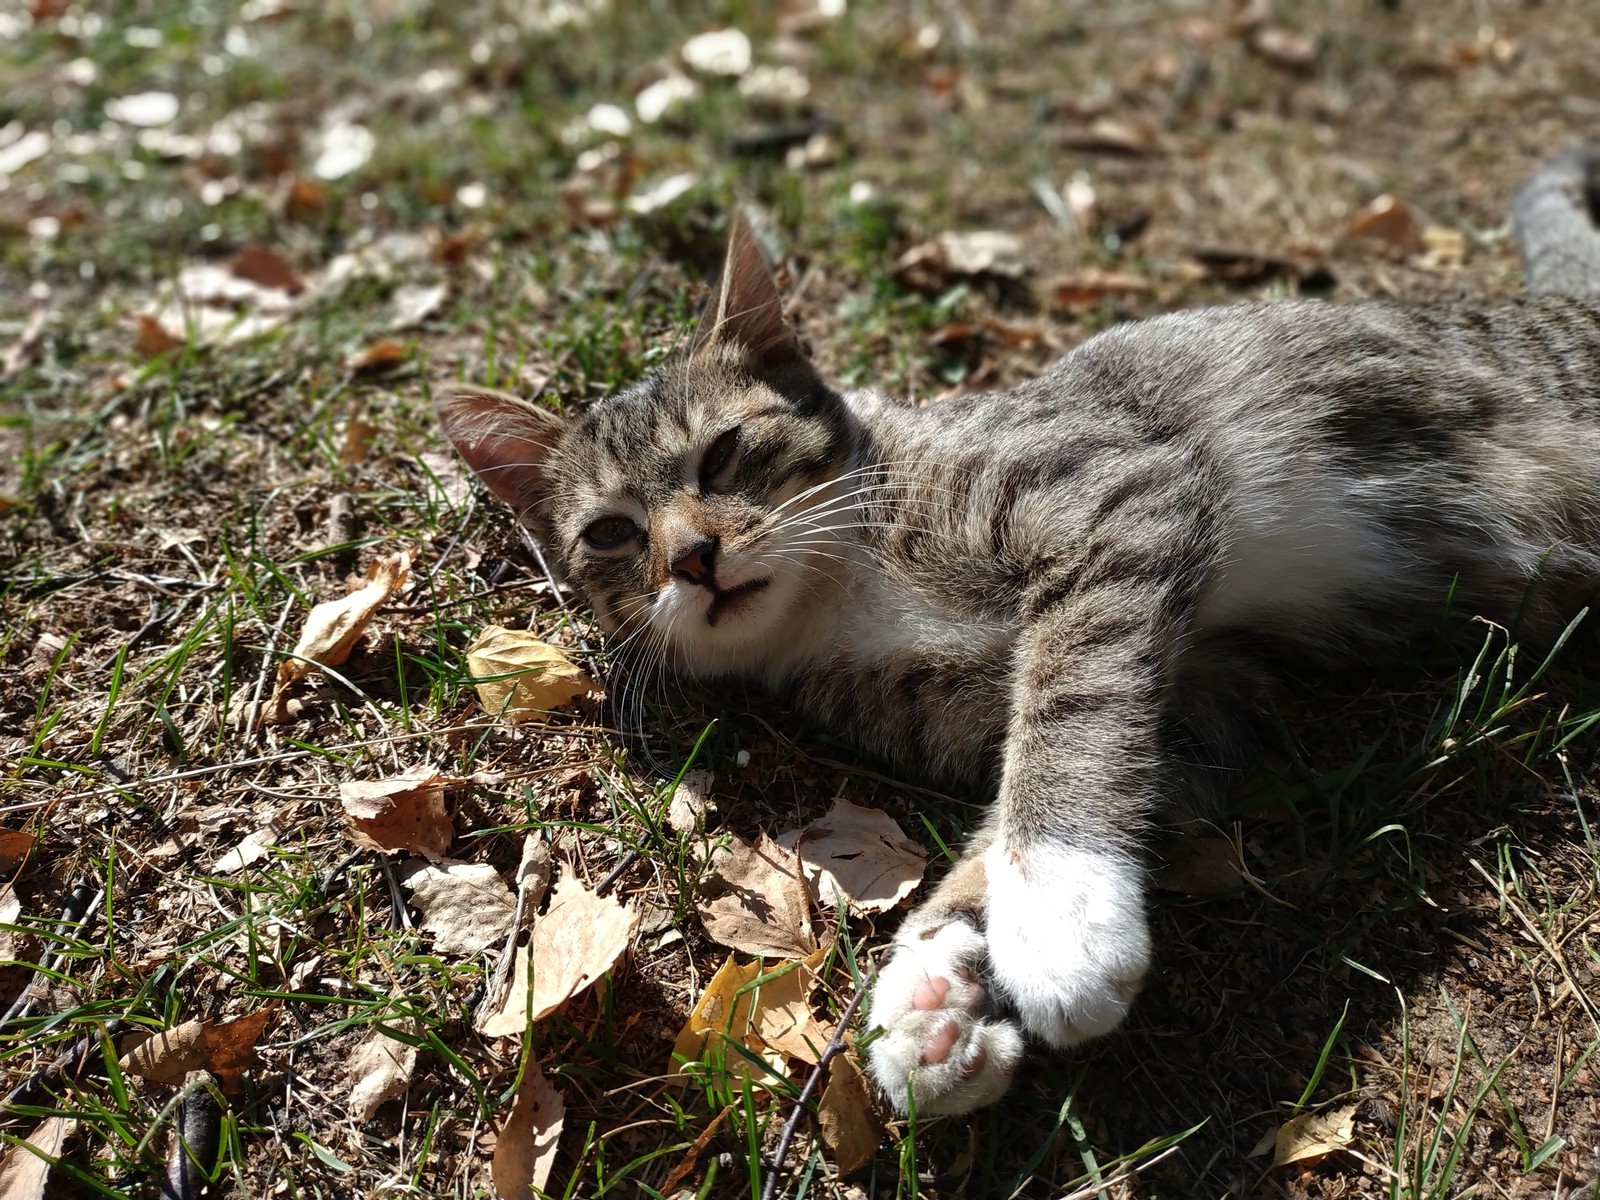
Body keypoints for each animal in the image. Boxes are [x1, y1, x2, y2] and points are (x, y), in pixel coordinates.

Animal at [435, 148, 1600, 1120]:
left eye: (724, 455)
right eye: (611, 534)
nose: (690, 557)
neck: (843, 586)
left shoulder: (1116, 494)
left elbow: (1070, 713)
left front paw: (1054, 912)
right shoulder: (1196, 706)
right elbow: (1038, 789)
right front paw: (939, 988)